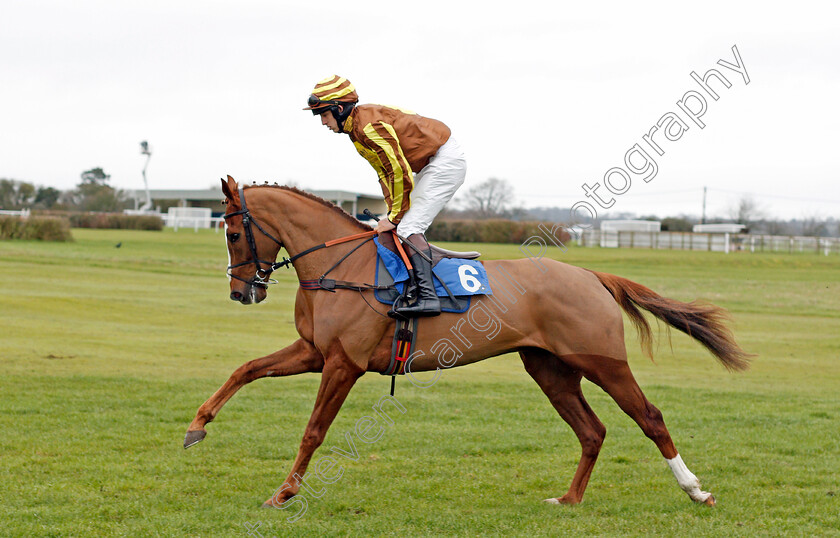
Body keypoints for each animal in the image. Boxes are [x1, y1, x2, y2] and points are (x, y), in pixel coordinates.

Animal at [185, 176, 748, 506]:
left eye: (231, 233)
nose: (241, 291)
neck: (343, 269)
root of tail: (592, 274)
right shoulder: (314, 352)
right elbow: (244, 369)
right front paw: (197, 426)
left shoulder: (343, 363)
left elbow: (313, 431)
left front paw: (283, 493)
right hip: (549, 368)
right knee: (592, 431)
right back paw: (568, 500)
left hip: (602, 361)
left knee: (649, 417)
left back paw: (695, 490)